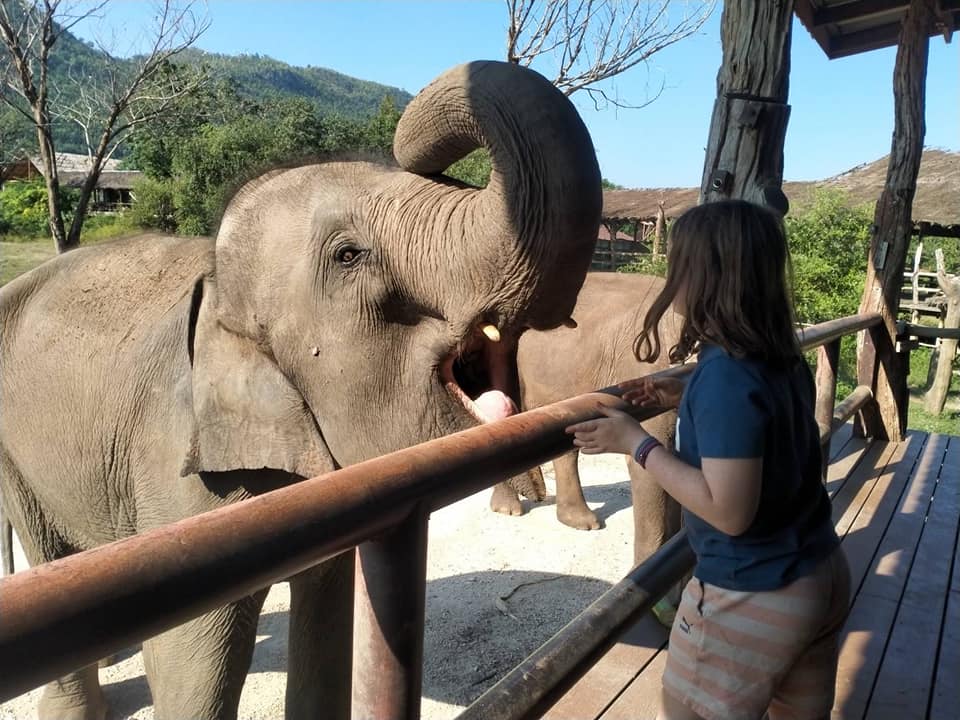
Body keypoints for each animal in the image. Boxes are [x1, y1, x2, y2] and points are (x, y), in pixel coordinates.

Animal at [0, 61, 601, 720]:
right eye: (349, 255)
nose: (412, 145)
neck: (216, 286)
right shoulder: (175, 469)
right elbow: (191, 663)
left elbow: (329, 622)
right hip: (13, 454)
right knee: (49, 554)